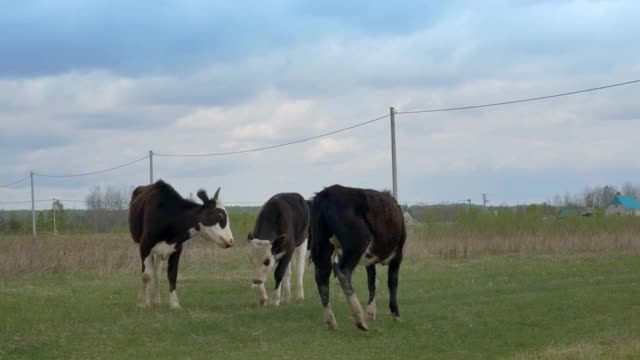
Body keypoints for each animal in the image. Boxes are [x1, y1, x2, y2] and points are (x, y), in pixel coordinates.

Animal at [129, 180, 234, 310]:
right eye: (221, 217)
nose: (231, 240)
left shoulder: (177, 249)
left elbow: (172, 275)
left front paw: (174, 304)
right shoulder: (145, 246)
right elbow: (145, 275)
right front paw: (141, 303)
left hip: (158, 253)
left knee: (157, 272)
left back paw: (157, 300)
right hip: (142, 246)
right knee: (147, 272)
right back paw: (147, 300)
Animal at [310, 184, 404, 330]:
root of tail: (327, 192)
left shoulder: (370, 261)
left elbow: (372, 282)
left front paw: (371, 312)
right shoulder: (398, 255)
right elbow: (392, 282)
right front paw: (395, 314)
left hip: (322, 246)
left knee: (322, 278)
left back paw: (331, 321)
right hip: (356, 244)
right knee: (343, 271)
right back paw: (359, 318)